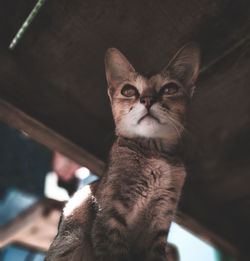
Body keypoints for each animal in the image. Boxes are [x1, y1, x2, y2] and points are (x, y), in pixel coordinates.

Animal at [45, 42, 199, 260]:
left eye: (170, 88)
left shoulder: (160, 224)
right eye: (128, 91)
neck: (155, 155)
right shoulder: (109, 218)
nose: (147, 99)